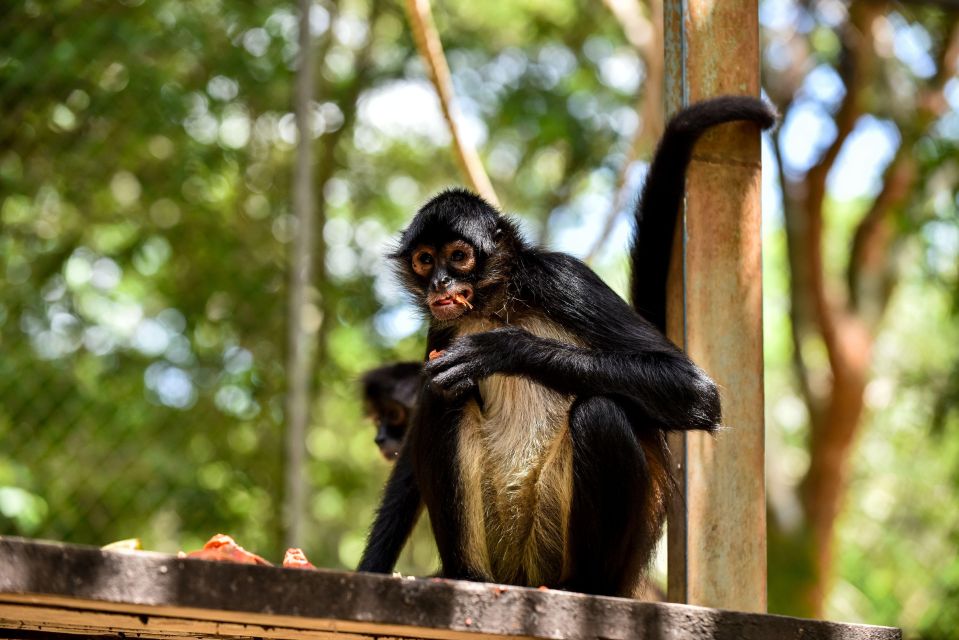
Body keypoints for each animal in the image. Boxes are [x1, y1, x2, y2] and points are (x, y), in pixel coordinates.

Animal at [356, 95, 776, 596]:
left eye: (458, 256)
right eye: (424, 260)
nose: (440, 282)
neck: (498, 304)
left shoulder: (560, 278)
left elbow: (697, 392)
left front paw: (504, 350)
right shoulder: (443, 330)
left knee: (601, 414)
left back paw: (584, 586)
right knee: (445, 397)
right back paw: (466, 575)